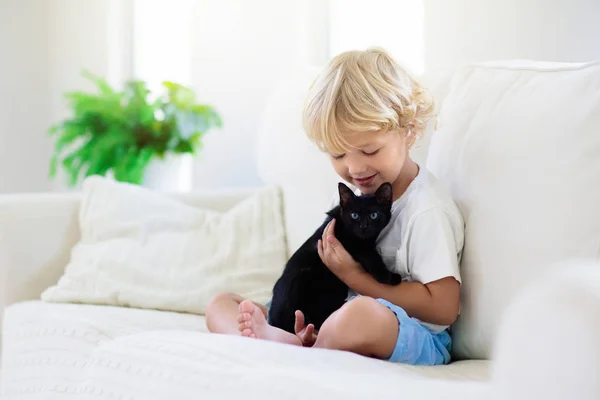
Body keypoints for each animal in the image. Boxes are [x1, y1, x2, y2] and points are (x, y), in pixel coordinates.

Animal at [268, 181, 400, 334]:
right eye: (354, 215)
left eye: (374, 215)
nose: (363, 227)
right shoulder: (349, 242)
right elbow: (370, 255)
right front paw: (384, 275)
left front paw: (394, 277)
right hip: (301, 278)